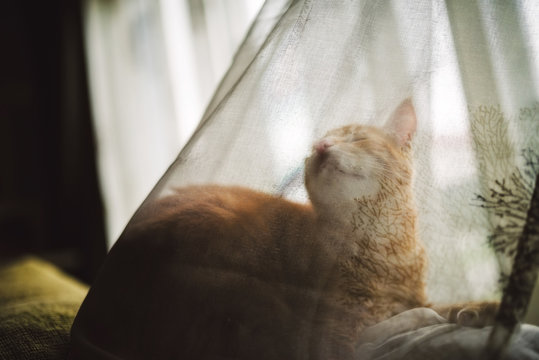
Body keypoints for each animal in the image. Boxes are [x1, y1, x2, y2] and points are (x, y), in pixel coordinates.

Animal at [70, 99, 498, 360]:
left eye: (357, 137)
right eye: (315, 146)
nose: (322, 146)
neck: (381, 243)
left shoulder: (408, 295)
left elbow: (436, 305)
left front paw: (481, 308)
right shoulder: (334, 332)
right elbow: (392, 326)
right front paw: (437, 318)